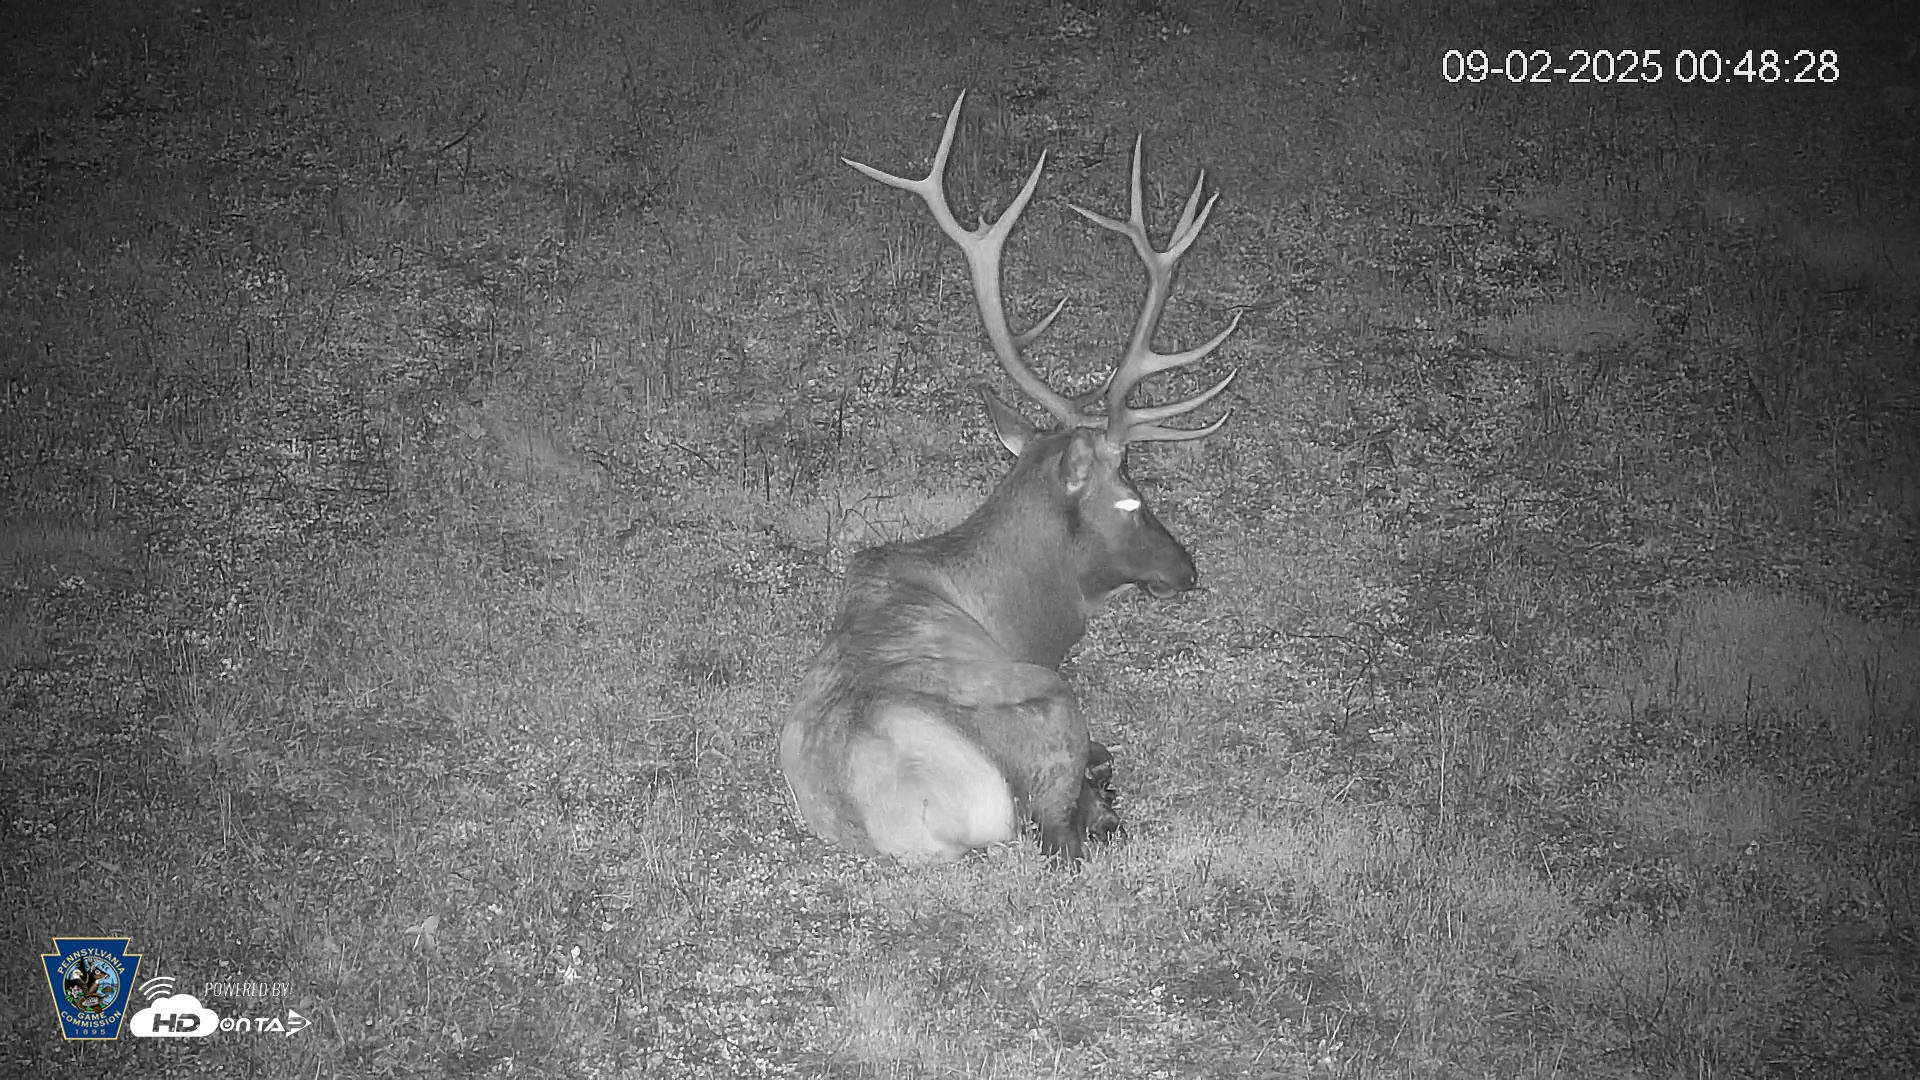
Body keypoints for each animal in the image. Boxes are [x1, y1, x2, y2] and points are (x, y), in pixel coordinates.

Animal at [778, 91, 1241, 863]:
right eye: (1131, 497)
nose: (1188, 569)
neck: (1022, 616)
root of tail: (921, 813)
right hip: (1047, 709)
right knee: (1065, 836)